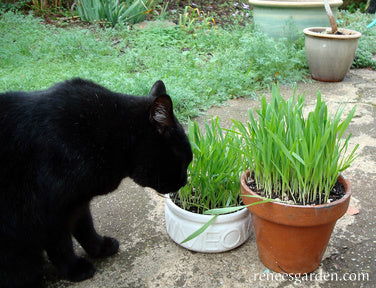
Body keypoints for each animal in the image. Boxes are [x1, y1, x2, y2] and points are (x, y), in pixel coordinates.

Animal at [0, 77, 192, 286]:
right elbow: (61, 245)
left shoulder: (78, 201)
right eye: (184, 160)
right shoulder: (50, 210)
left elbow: (85, 227)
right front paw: (75, 269)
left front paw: (100, 248)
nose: (185, 181)